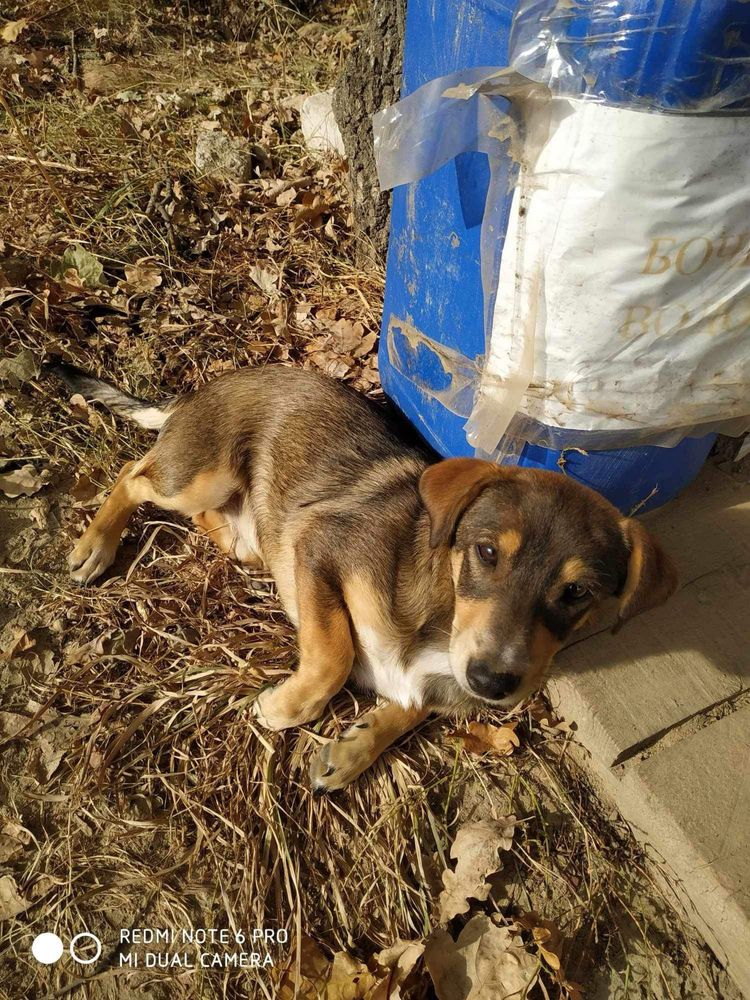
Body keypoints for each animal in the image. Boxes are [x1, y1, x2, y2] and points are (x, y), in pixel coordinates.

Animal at [50, 364, 680, 792]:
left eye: (578, 593)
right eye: (485, 552)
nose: (493, 684)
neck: (442, 613)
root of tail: (197, 392)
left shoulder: (438, 683)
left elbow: (408, 706)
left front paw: (348, 753)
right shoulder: (318, 547)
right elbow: (334, 652)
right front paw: (285, 707)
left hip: (236, 524)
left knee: (221, 527)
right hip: (200, 475)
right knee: (133, 474)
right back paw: (95, 546)